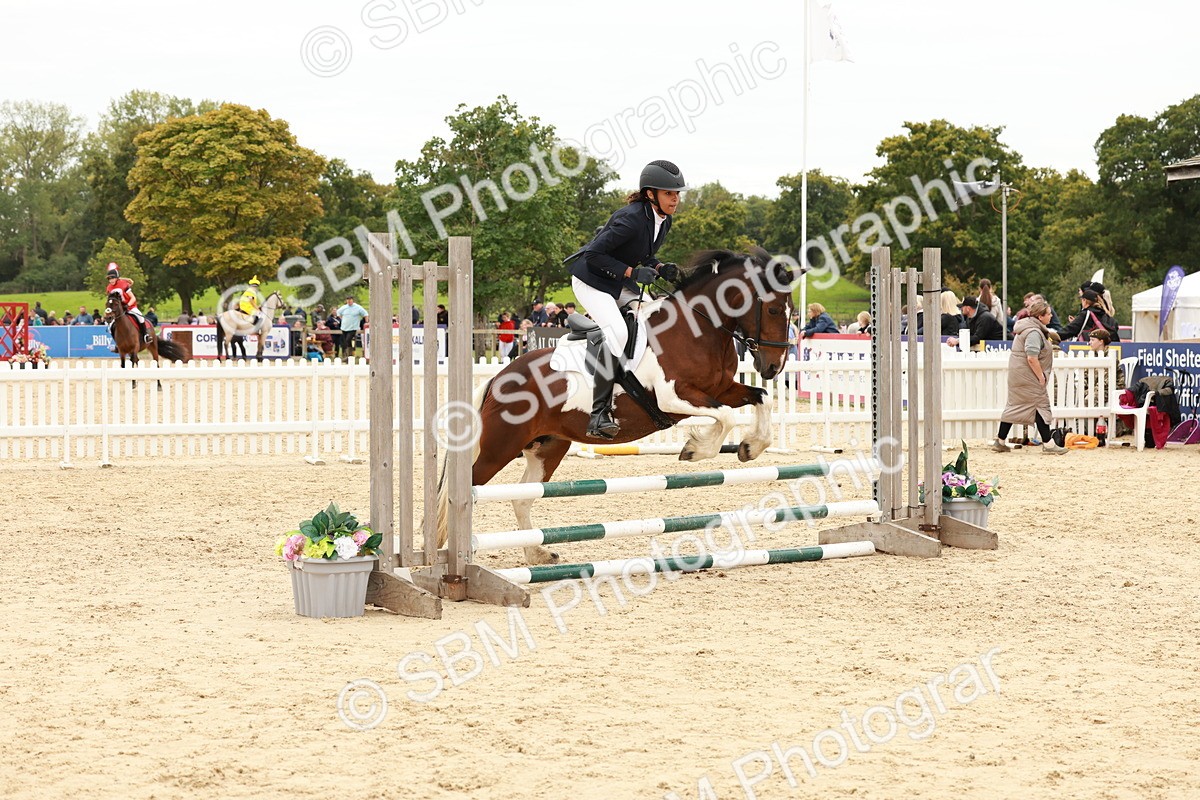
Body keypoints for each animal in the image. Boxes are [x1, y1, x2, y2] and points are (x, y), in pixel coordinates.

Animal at [437, 247, 799, 565]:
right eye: (773, 310)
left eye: (792, 312)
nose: (773, 367)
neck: (698, 329)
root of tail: (497, 379)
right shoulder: (674, 397)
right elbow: (725, 417)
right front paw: (696, 449)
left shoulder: (722, 388)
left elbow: (760, 397)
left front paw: (751, 447)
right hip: (500, 447)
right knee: (467, 488)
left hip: (548, 447)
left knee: (522, 497)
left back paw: (538, 554)